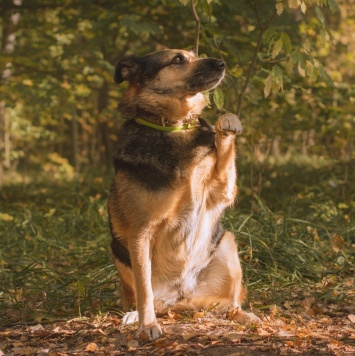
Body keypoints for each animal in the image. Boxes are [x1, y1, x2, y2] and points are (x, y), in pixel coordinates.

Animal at [108, 49, 258, 340]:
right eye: (178, 59)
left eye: (196, 55)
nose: (222, 64)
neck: (174, 127)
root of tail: (180, 297)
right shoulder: (140, 233)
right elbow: (144, 292)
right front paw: (147, 324)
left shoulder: (221, 191)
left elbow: (224, 151)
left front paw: (227, 123)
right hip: (120, 253)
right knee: (149, 298)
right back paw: (135, 315)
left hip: (226, 244)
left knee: (231, 302)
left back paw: (243, 316)